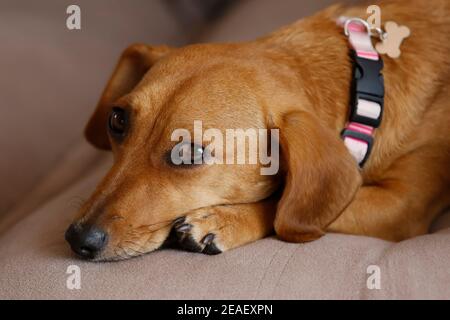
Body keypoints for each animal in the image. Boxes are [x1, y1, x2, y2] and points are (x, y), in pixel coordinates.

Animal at [65, 0, 448, 260]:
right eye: (116, 120)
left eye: (188, 152)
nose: (77, 239)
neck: (366, 88)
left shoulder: (401, 206)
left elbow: (282, 210)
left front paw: (225, 219)